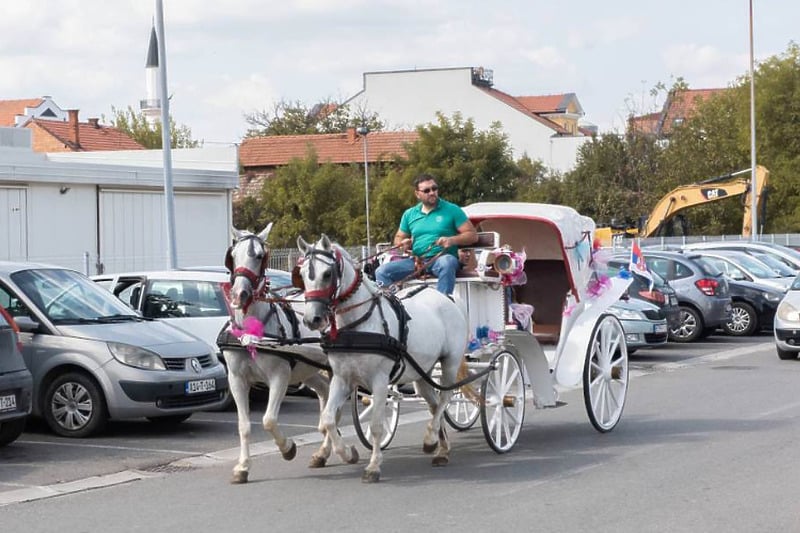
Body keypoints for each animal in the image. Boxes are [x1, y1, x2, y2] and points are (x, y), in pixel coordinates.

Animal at [222, 223, 340, 482]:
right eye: (233, 255)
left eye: (259, 256)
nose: (239, 294)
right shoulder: (236, 379)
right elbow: (243, 425)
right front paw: (242, 467)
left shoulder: (279, 376)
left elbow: (268, 420)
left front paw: (288, 448)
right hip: (308, 370)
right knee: (325, 393)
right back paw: (322, 452)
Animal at [296, 233, 468, 482]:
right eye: (301, 275)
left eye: (327, 274)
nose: (312, 319)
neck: (358, 325)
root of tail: (448, 297)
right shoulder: (342, 379)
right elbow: (328, 418)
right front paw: (348, 453)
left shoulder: (379, 381)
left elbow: (376, 425)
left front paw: (373, 466)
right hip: (421, 372)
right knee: (434, 404)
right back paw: (440, 447)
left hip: (450, 362)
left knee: (445, 397)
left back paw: (430, 439)